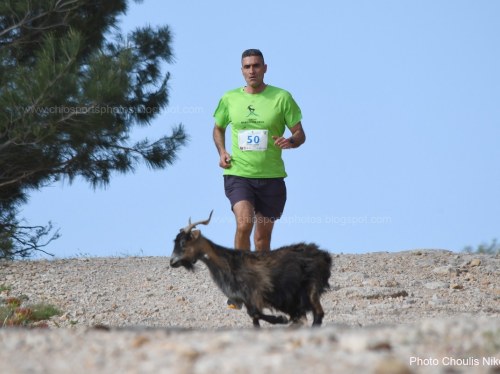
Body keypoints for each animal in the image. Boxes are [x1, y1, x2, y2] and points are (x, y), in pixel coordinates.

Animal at [171, 213, 332, 328]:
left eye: (183, 242)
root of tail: (322, 254)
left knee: (319, 314)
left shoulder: (255, 293)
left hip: (311, 286)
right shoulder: (245, 298)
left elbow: (255, 313)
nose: (172, 262)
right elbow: (254, 318)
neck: (228, 262)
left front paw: (281, 319)